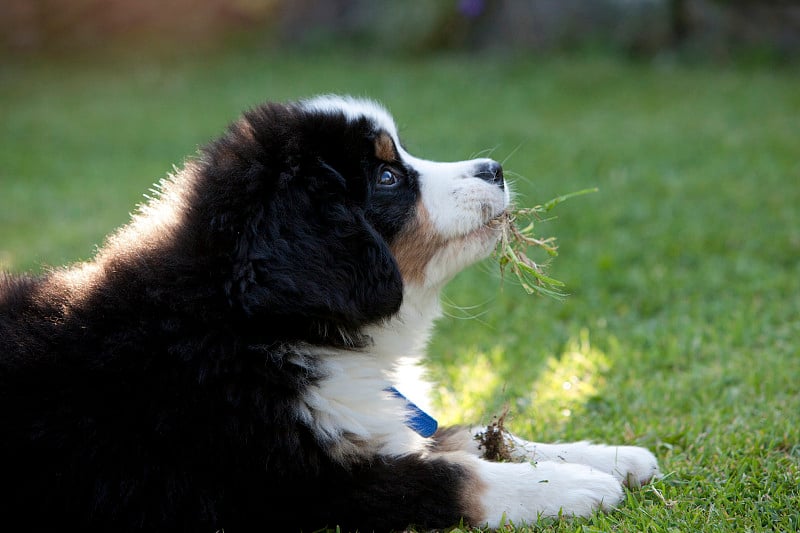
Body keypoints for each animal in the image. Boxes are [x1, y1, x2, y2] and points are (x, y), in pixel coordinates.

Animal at [0, 96, 656, 532]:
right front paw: (576, 485)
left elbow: (464, 434)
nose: (493, 169)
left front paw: (606, 455)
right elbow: (448, 478)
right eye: (387, 175)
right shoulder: (288, 489)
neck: (262, 326)